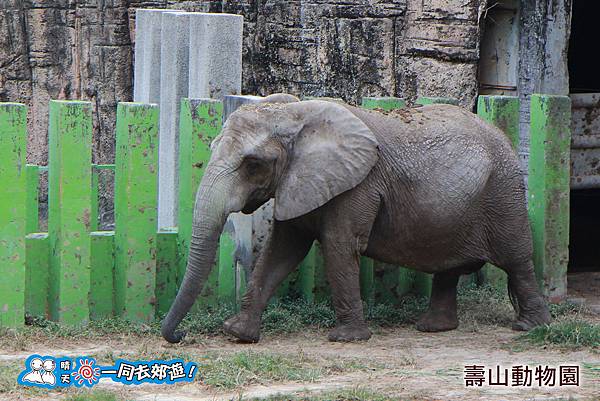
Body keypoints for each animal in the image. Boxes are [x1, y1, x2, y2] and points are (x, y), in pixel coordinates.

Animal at [161, 94, 552, 344]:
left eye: (253, 164)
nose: (181, 336)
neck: (294, 113)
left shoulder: (359, 184)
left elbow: (339, 246)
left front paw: (346, 339)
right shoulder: (300, 182)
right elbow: (282, 251)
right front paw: (238, 333)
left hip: (503, 193)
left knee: (517, 259)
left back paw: (530, 329)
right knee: (449, 266)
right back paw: (432, 329)